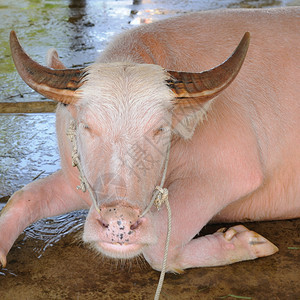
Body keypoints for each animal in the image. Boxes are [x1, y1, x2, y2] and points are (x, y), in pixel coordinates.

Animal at [0, 8, 300, 272]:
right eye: (87, 126)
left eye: (160, 129)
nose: (119, 221)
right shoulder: (76, 180)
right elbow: (24, 197)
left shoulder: (232, 172)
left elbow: (158, 247)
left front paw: (245, 243)